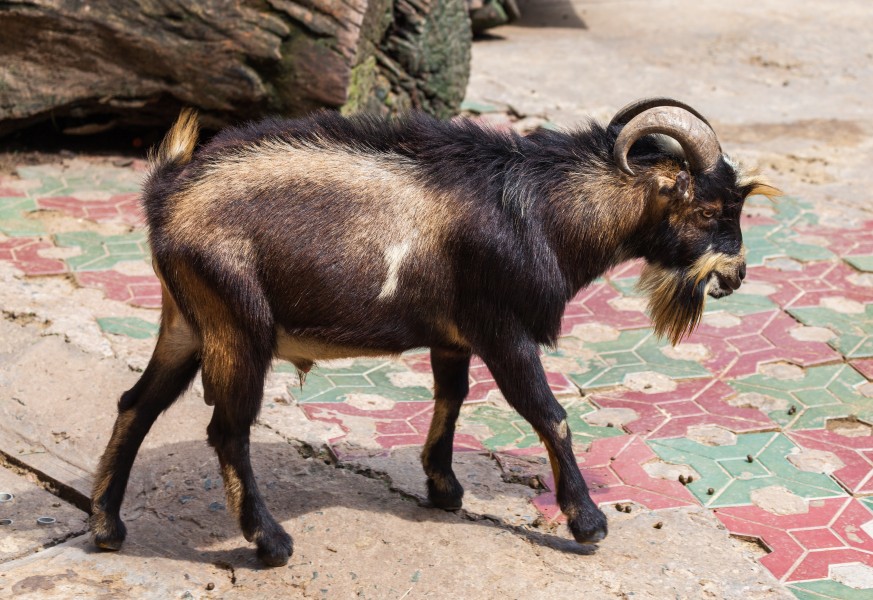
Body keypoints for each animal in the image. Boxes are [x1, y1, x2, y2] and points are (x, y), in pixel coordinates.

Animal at [90, 98, 778, 566]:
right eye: (710, 210)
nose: (737, 275)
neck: (544, 210)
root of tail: (166, 197)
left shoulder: (454, 335)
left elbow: (451, 395)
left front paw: (443, 486)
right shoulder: (503, 326)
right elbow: (547, 412)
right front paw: (588, 523)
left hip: (186, 323)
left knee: (135, 404)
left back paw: (106, 527)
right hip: (238, 324)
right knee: (227, 430)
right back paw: (271, 542)